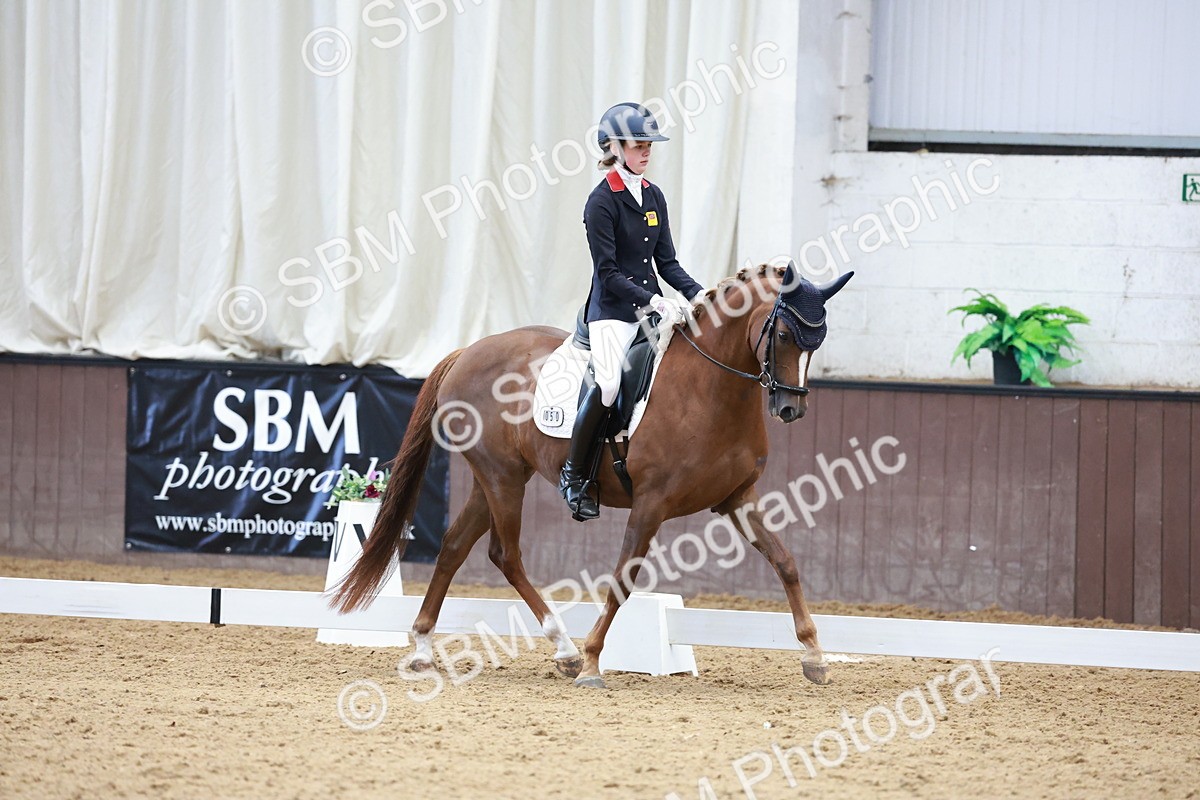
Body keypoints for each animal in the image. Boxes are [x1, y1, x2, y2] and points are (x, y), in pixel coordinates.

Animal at [330, 262, 854, 689]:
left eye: (819, 340)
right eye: (783, 334)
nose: (790, 409)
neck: (712, 388)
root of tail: (466, 352)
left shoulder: (738, 497)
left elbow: (786, 562)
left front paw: (814, 654)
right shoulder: (651, 503)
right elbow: (622, 578)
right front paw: (591, 662)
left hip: (495, 478)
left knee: (455, 547)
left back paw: (423, 648)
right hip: (502, 477)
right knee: (506, 554)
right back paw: (563, 648)